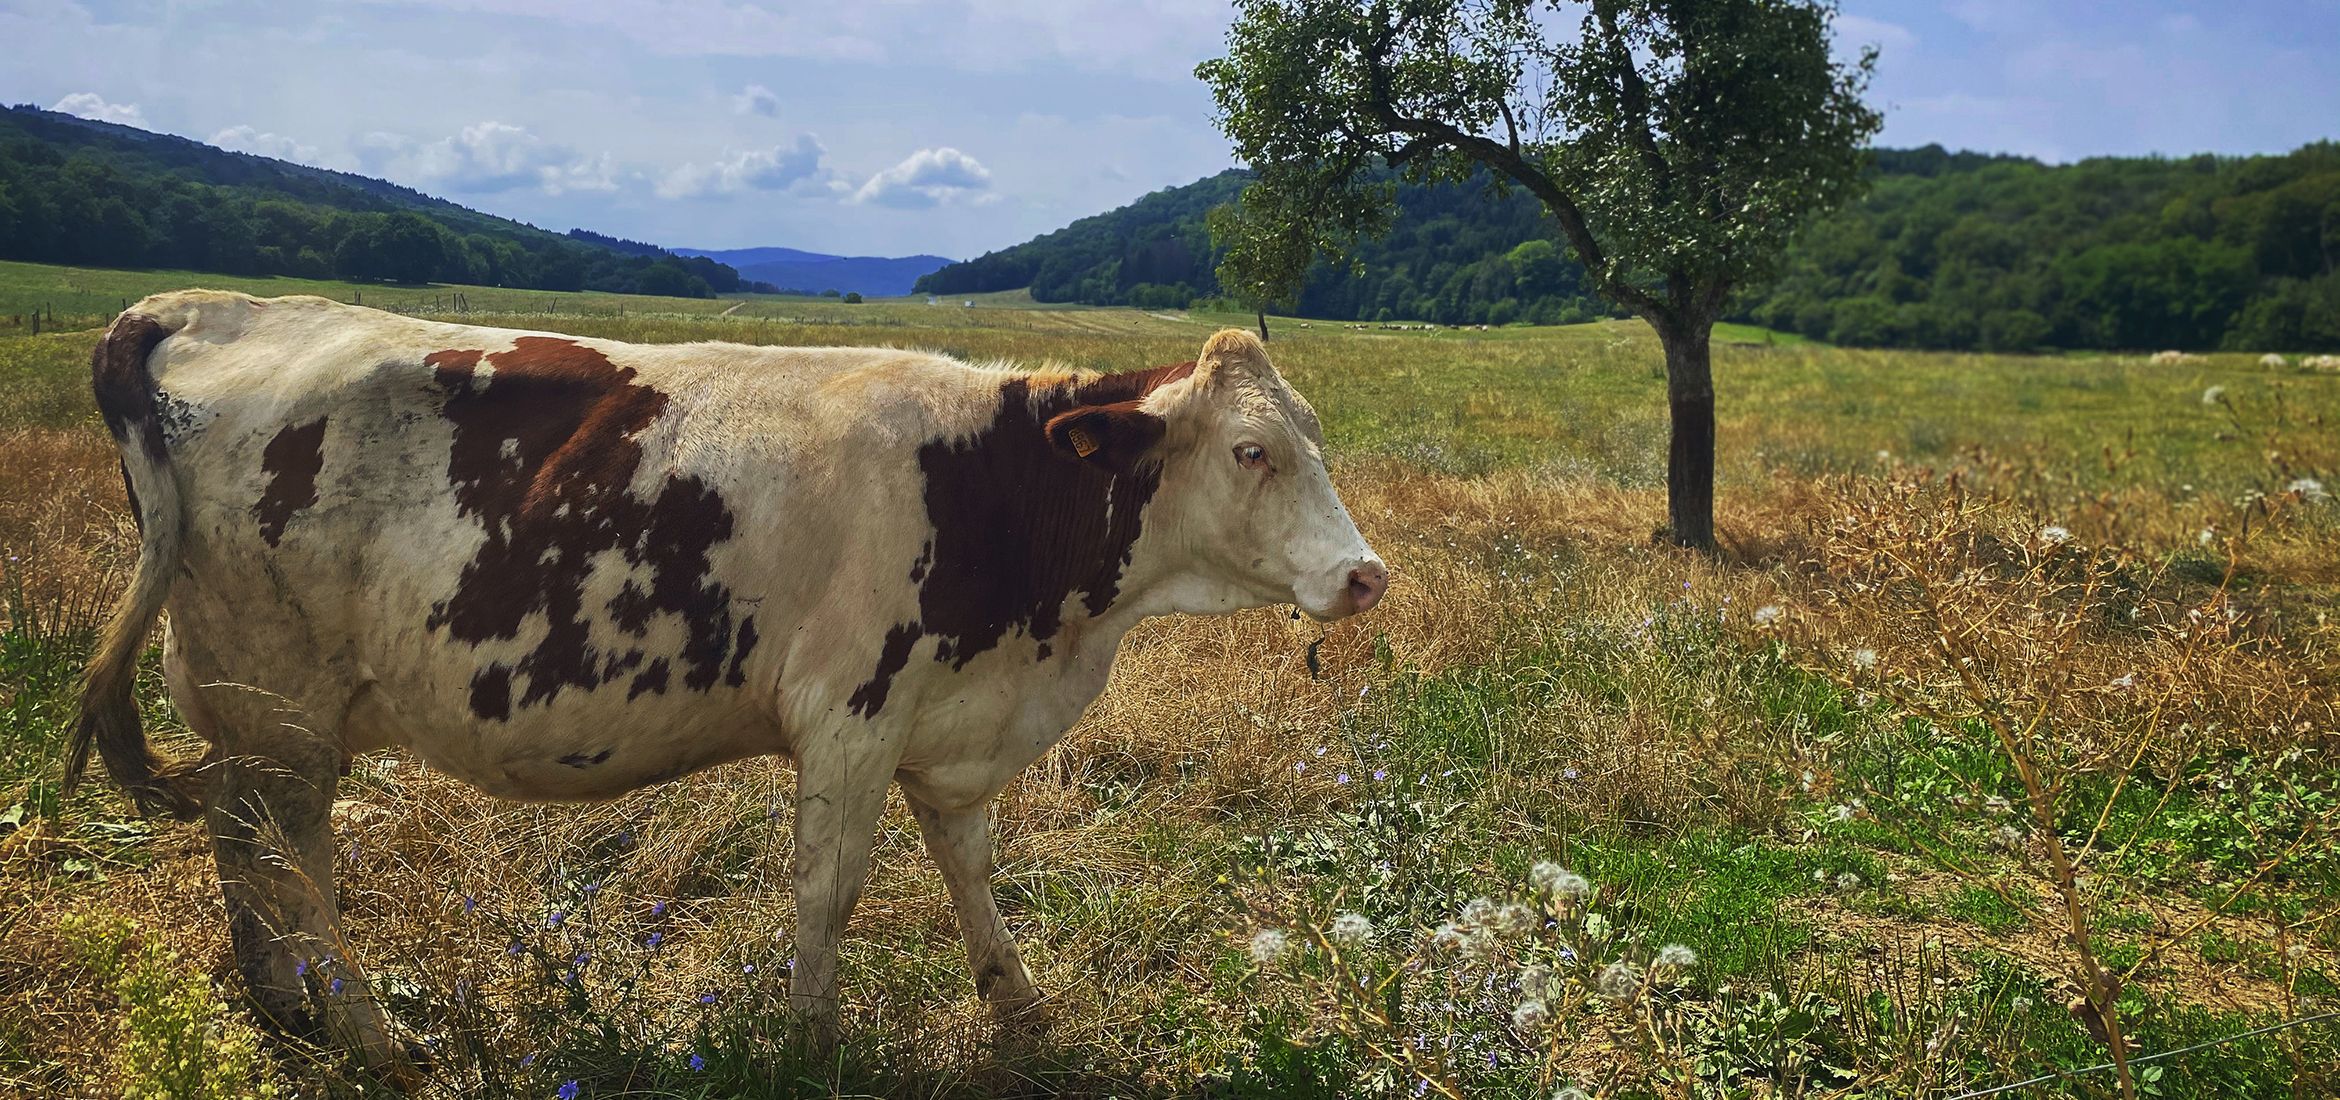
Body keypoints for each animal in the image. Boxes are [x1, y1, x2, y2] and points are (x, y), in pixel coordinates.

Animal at [68, 290, 1385, 1071]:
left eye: (1320, 436)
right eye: (1252, 450)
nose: (1365, 574)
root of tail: (207, 305)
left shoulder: (946, 723)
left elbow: (970, 866)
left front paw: (1019, 1005)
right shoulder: (852, 714)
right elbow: (827, 893)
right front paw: (812, 1043)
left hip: (260, 717)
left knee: (249, 846)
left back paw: (291, 1012)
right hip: (277, 702)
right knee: (286, 855)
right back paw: (369, 1031)